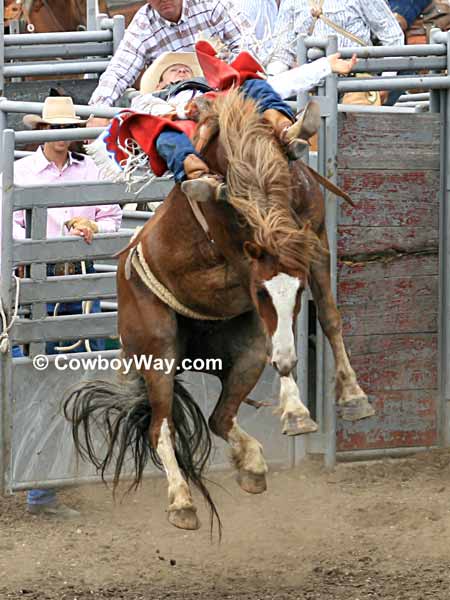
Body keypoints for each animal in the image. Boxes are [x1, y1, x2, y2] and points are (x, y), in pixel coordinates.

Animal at [62, 88, 372, 528]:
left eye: (298, 292)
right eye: (260, 293)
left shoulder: (313, 244)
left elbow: (328, 317)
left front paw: (353, 396)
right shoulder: (245, 262)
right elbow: (284, 346)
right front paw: (296, 409)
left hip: (244, 353)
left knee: (220, 417)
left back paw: (252, 466)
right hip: (157, 352)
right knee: (161, 428)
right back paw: (182, 502)